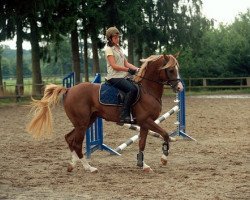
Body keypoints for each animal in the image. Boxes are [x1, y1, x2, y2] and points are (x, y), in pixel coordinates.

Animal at [26, 54, 184, 173]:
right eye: (171, 70)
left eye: (177, 69)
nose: (180, 88)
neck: (147, 90)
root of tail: (69, 90)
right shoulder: (147, 121)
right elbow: (165, 135)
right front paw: (164, 159)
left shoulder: (145, 124)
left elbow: (142, 143)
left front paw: (142, 164)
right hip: (82, 123)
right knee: (76, 143)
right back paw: (89, 167)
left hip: (86, 121)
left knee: (69, 139)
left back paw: (73, 164)